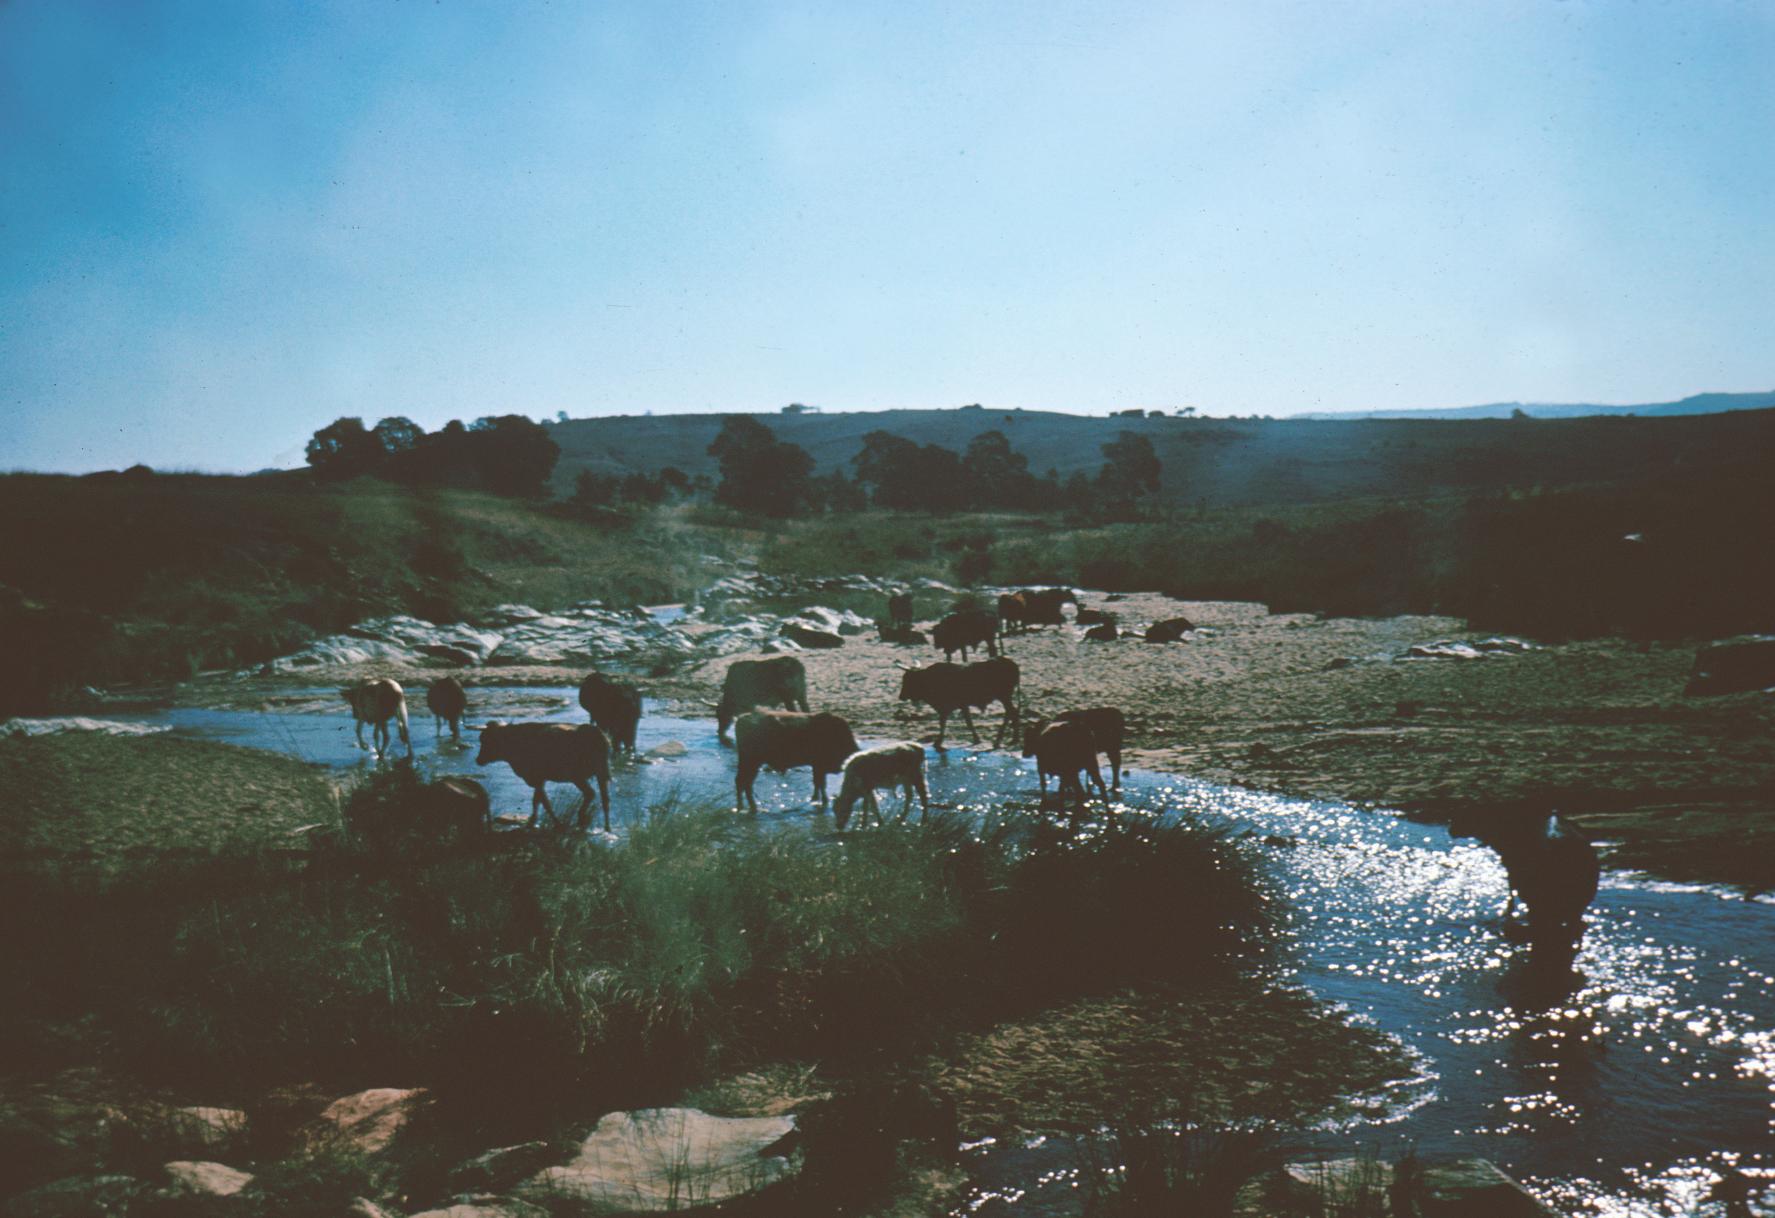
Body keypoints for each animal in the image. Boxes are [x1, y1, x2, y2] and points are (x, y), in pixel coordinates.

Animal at [475, 720, 614, 834]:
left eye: (487, 740)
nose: (478, 760)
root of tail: (595, 732)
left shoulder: (536, 778)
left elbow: (543, 802)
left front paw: (556, 823)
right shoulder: (540, 780)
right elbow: (538, 800)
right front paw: (532, 822)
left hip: (579, 776)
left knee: (591, 793)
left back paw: (582, 819)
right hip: (600, 774)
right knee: (604, 799)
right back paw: (606, 828)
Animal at [894, 664, 1022, 749]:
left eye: (909, 679)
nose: (901, 696)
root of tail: (1011, 663)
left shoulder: (948, 707)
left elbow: (945, 723)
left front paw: (938, 742)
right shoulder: (960, 706)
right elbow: (966, 722)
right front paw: (976, 738)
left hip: (1004, 696)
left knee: (1011, 712)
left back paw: (1004, 740)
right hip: (1005, 697)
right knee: (1011, 712)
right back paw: (1011, 739)